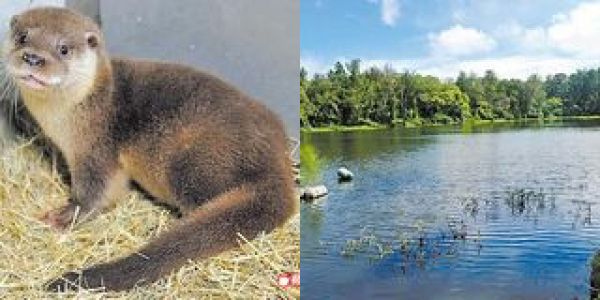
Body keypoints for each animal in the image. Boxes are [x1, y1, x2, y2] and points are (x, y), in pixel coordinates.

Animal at [1, 7, 296, 292]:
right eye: (22, 37)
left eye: (63, 48)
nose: (33, 58)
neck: (84, 105)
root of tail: (274, 161)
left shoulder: (96, 147)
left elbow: (98, 192)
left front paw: (66, 215)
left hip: (191, 161)